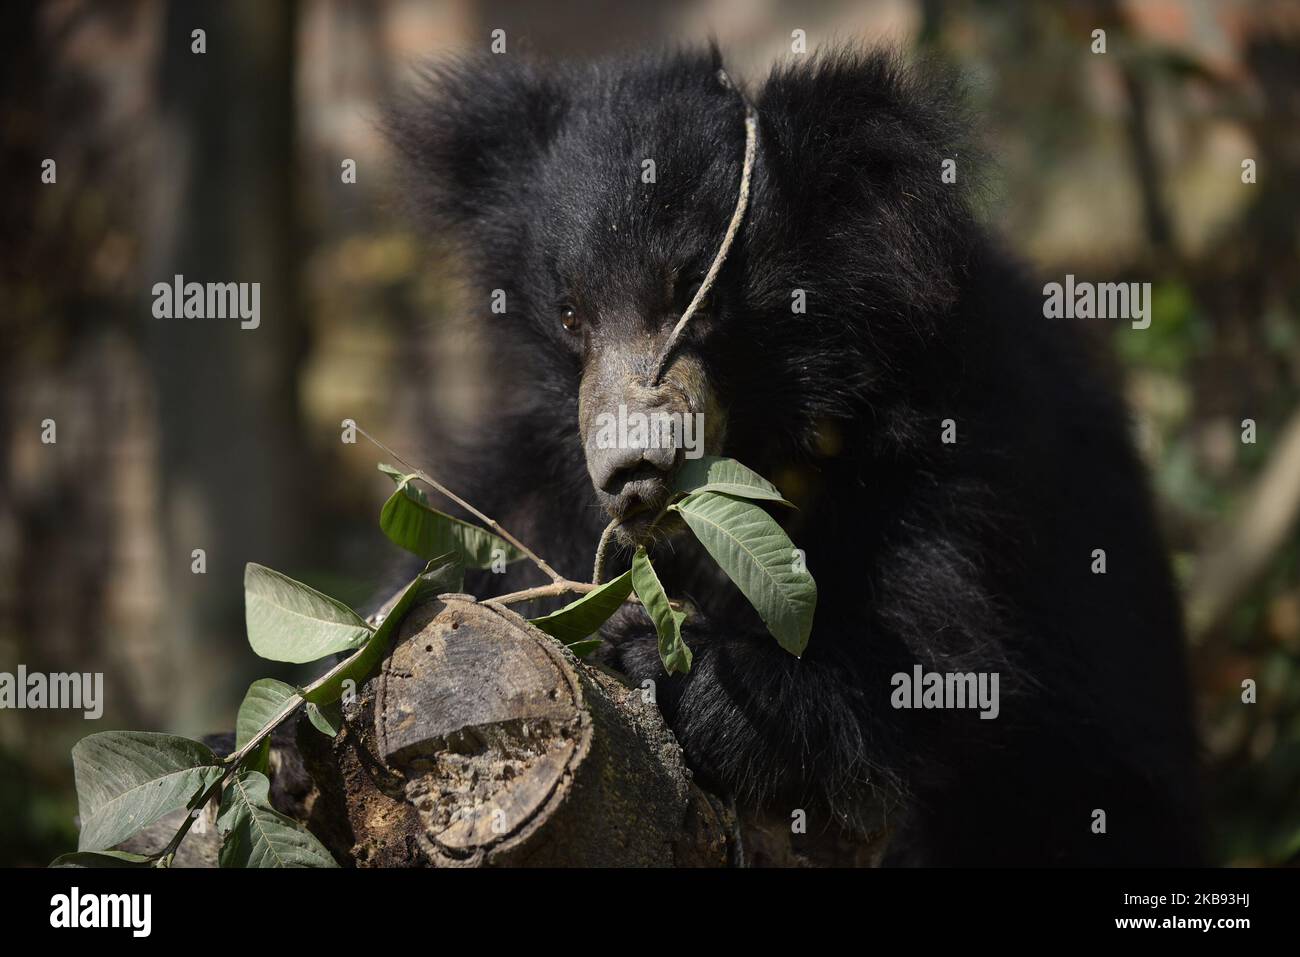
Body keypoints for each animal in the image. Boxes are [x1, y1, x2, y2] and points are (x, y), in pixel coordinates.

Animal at [384, 46, 1196, 868]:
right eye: (571, 313)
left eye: (694, 294)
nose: (632, 473)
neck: (772, 439)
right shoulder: (538, 481)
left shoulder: (958, 467)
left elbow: (943, 672)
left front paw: (668, 663)